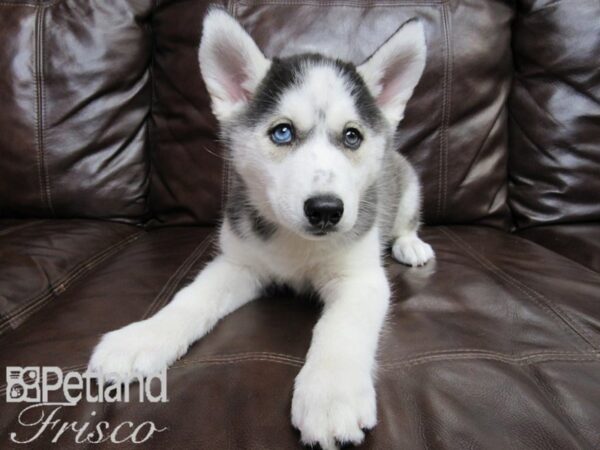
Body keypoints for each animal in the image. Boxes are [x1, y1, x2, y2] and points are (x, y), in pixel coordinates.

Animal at [89, 7, 434, 450]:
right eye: (282, 132)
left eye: (352, 136)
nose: (326, 210)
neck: (295, 243)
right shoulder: (238, 263)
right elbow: (190, 300)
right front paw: (141, 338)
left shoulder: (360, 278)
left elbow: (340, 329)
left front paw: (331, 395)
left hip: (407, 185)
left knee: (407, 220)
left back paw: (411, 245)